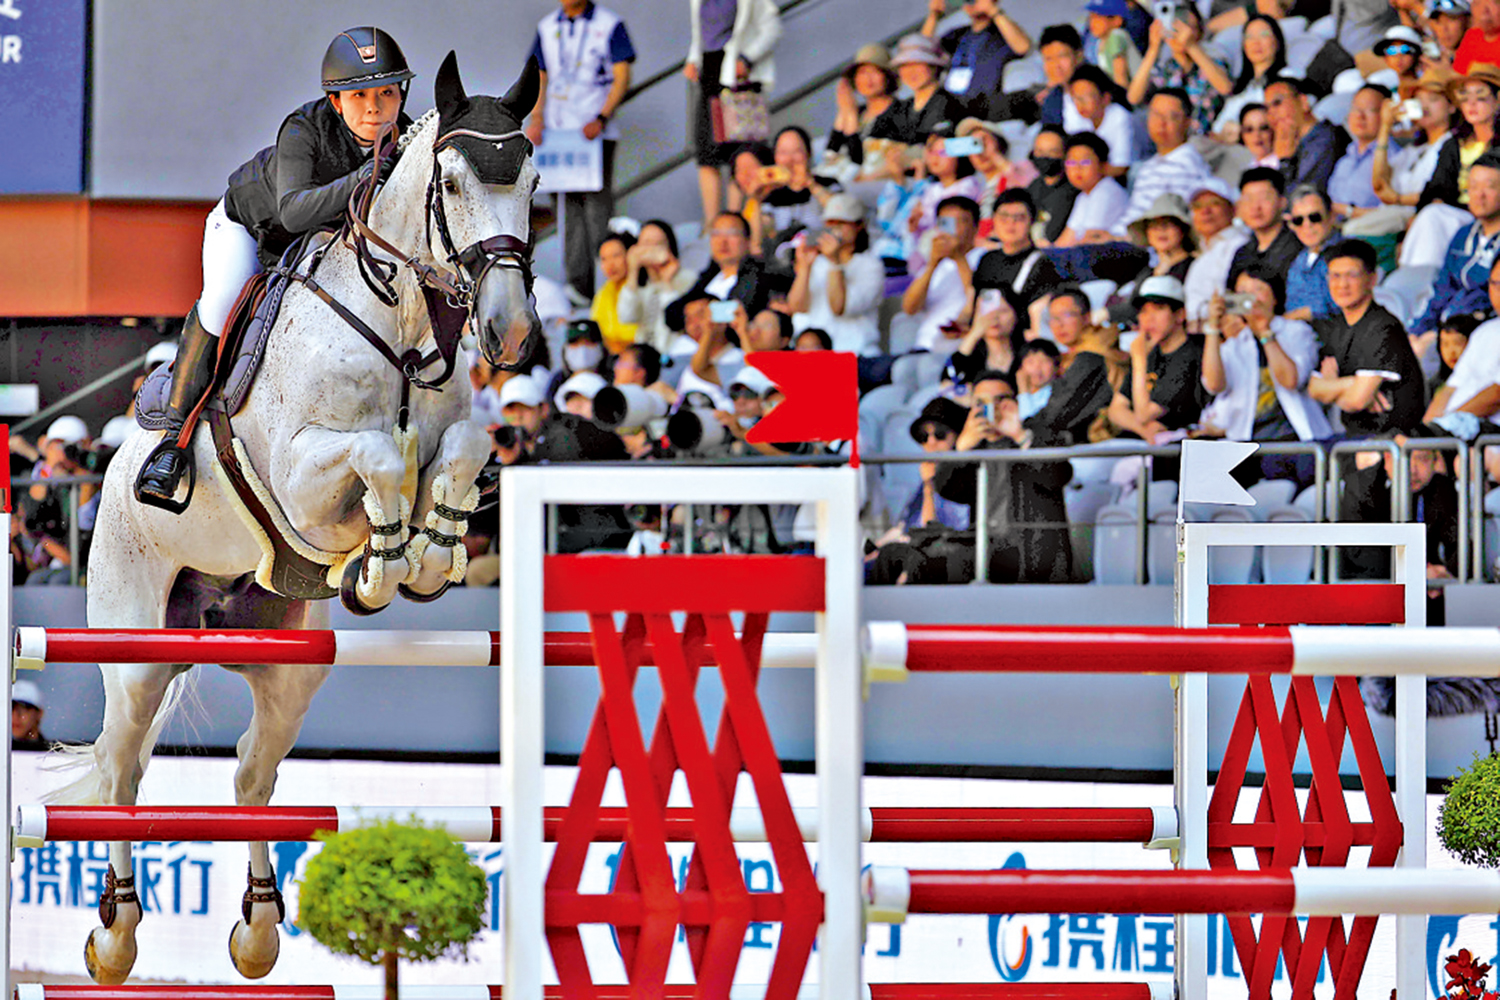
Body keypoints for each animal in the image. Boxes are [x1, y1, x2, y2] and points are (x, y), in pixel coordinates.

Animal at [51, 51, 541, 984]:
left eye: (533, 180)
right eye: (453, 183)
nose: (510, 332)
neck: (398, 320)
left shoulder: (450, 431)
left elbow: (457, 448)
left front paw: (432, 551)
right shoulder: (303, 481)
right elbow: (381, 457)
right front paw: (386, 562)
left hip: (287, 661)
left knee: (251, 776)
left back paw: (258, 930)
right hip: (135, 644)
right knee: (121, 769)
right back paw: (115, 937)